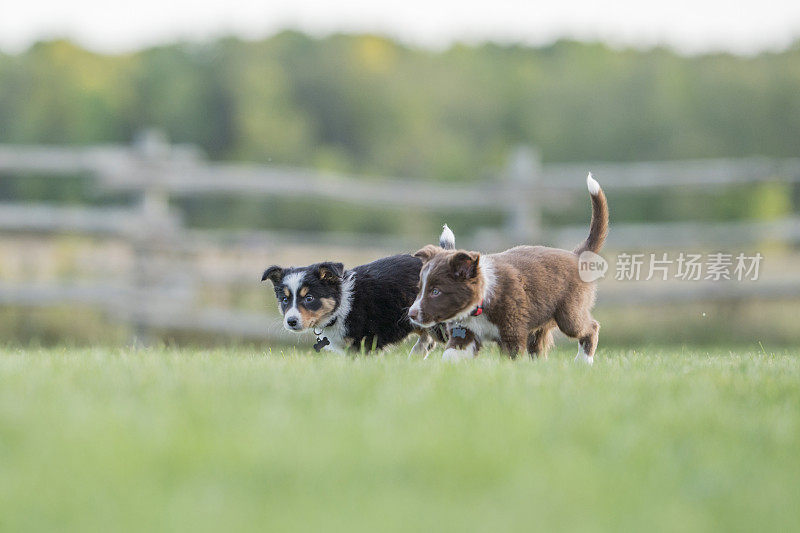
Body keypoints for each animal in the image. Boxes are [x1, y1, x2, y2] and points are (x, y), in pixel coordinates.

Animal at [260, 224, 454, 354]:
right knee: (428, 340)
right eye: (285, 300)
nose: (291, 321)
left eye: (309, 298)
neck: (341, 306)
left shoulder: (366, 341)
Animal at [410, 175, 608, 366]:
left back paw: (584, 360)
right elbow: (451, 354)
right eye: (420, 289)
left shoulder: (513, 331)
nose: (411, 314)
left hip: (569, 312)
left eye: (436, 291)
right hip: (540, 322)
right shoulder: (465, 332)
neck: (481, 303)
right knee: (539, 347)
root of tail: (576, 256)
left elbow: (511, 357)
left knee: (591, 327)